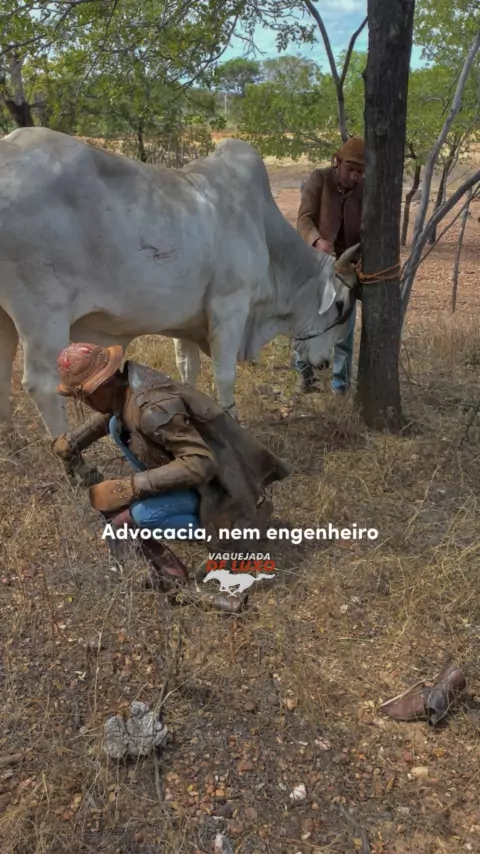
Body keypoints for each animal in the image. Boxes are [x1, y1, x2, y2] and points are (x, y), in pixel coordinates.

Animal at [0, 127, 359, 439]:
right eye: (339, 305)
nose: (325, 363)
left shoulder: (186, 321)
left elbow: (187, 369)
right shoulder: (229, 307)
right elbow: (224, 373)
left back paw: (9, 438)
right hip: (44, 314)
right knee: (41, 384)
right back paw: (68, 452)